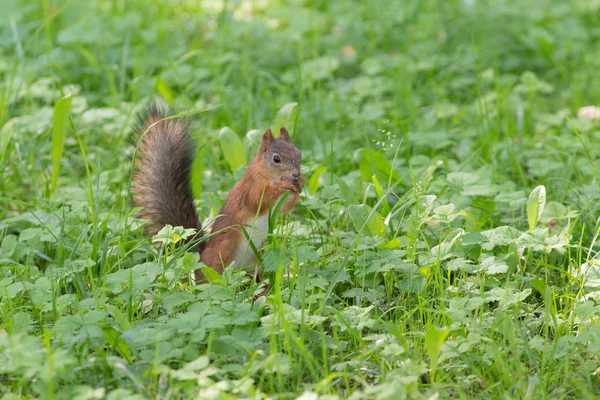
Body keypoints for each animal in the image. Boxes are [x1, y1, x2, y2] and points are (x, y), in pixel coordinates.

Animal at [134, 103, 308, 284]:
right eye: (276, 159)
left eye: (298, 154)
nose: (296, 173)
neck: (266, 174)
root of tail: (199, 258)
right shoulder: (251, 186)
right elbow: (258, 201)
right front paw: (284, 185)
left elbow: (285, 208)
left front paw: (301, 183)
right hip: (221, 253)